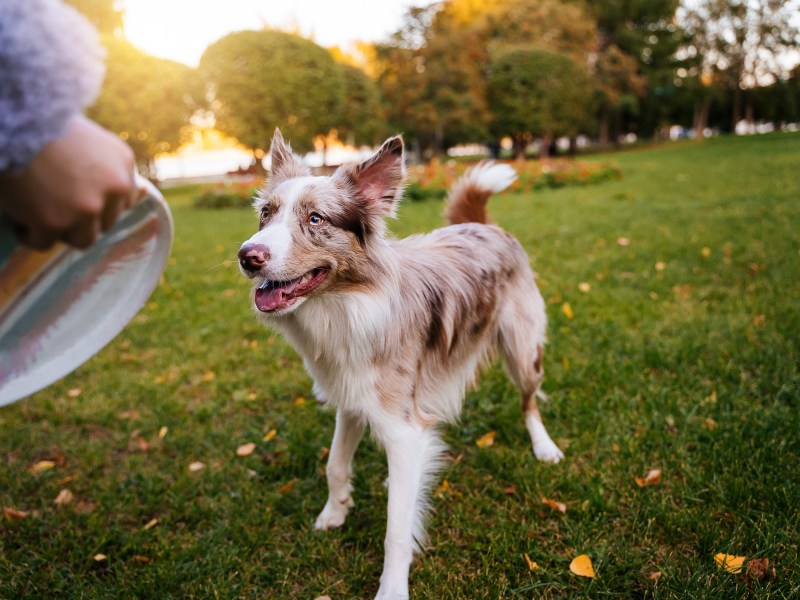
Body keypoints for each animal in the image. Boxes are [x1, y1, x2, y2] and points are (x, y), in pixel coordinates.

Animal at [238, 129, 564, 596]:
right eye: (265, 214)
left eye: (316, 219)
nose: (247, 256)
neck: (347, 308)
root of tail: (483, 225)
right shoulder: (352, 400)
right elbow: (335, 464)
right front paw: (335, 512)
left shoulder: (403, 428)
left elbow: (396, 527)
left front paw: (392, 588)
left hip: (523, 349)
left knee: (529, 401)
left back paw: (544, 446)